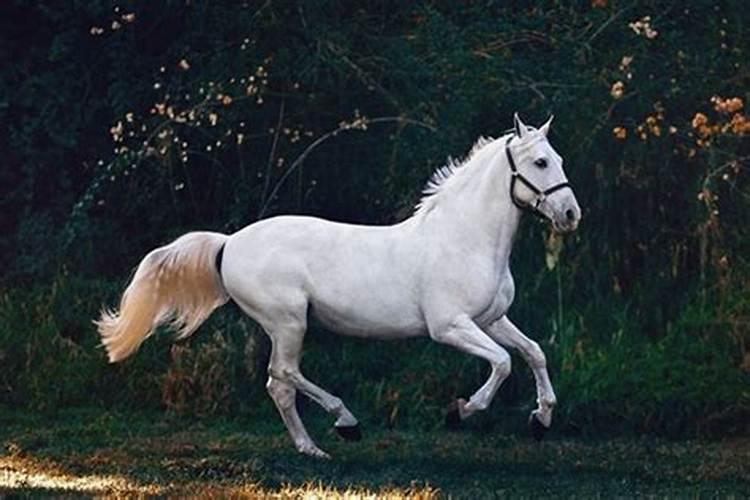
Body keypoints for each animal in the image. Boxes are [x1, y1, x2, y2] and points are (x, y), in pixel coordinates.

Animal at [96, 113, 580, 458]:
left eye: (559, 160)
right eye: (540, 162)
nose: (571, 214)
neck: (464, 239)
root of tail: (229, 243)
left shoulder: (492, 319)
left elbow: (533, 352)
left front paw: (541, 419)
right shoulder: (450, 327)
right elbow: (502, 362)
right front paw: (460, 411)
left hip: (286, 326)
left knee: (279, 384)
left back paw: (312, 448)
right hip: (288, 322)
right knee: (284, 375)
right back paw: (345, 423)